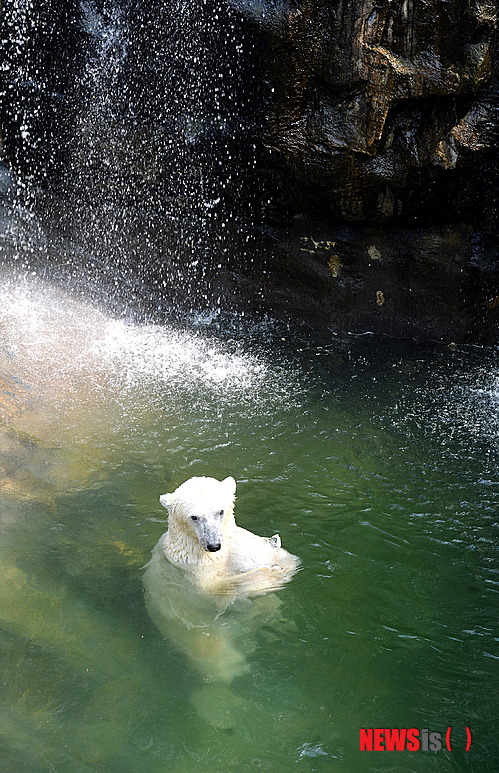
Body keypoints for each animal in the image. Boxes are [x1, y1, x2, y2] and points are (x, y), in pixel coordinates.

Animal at [143, 476, 298, 680]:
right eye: (194, 517)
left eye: (220, 511)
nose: (214, 545)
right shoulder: (188, 567)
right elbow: (208, 592)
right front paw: (273, 574)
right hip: (200, 638)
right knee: (222, 659)